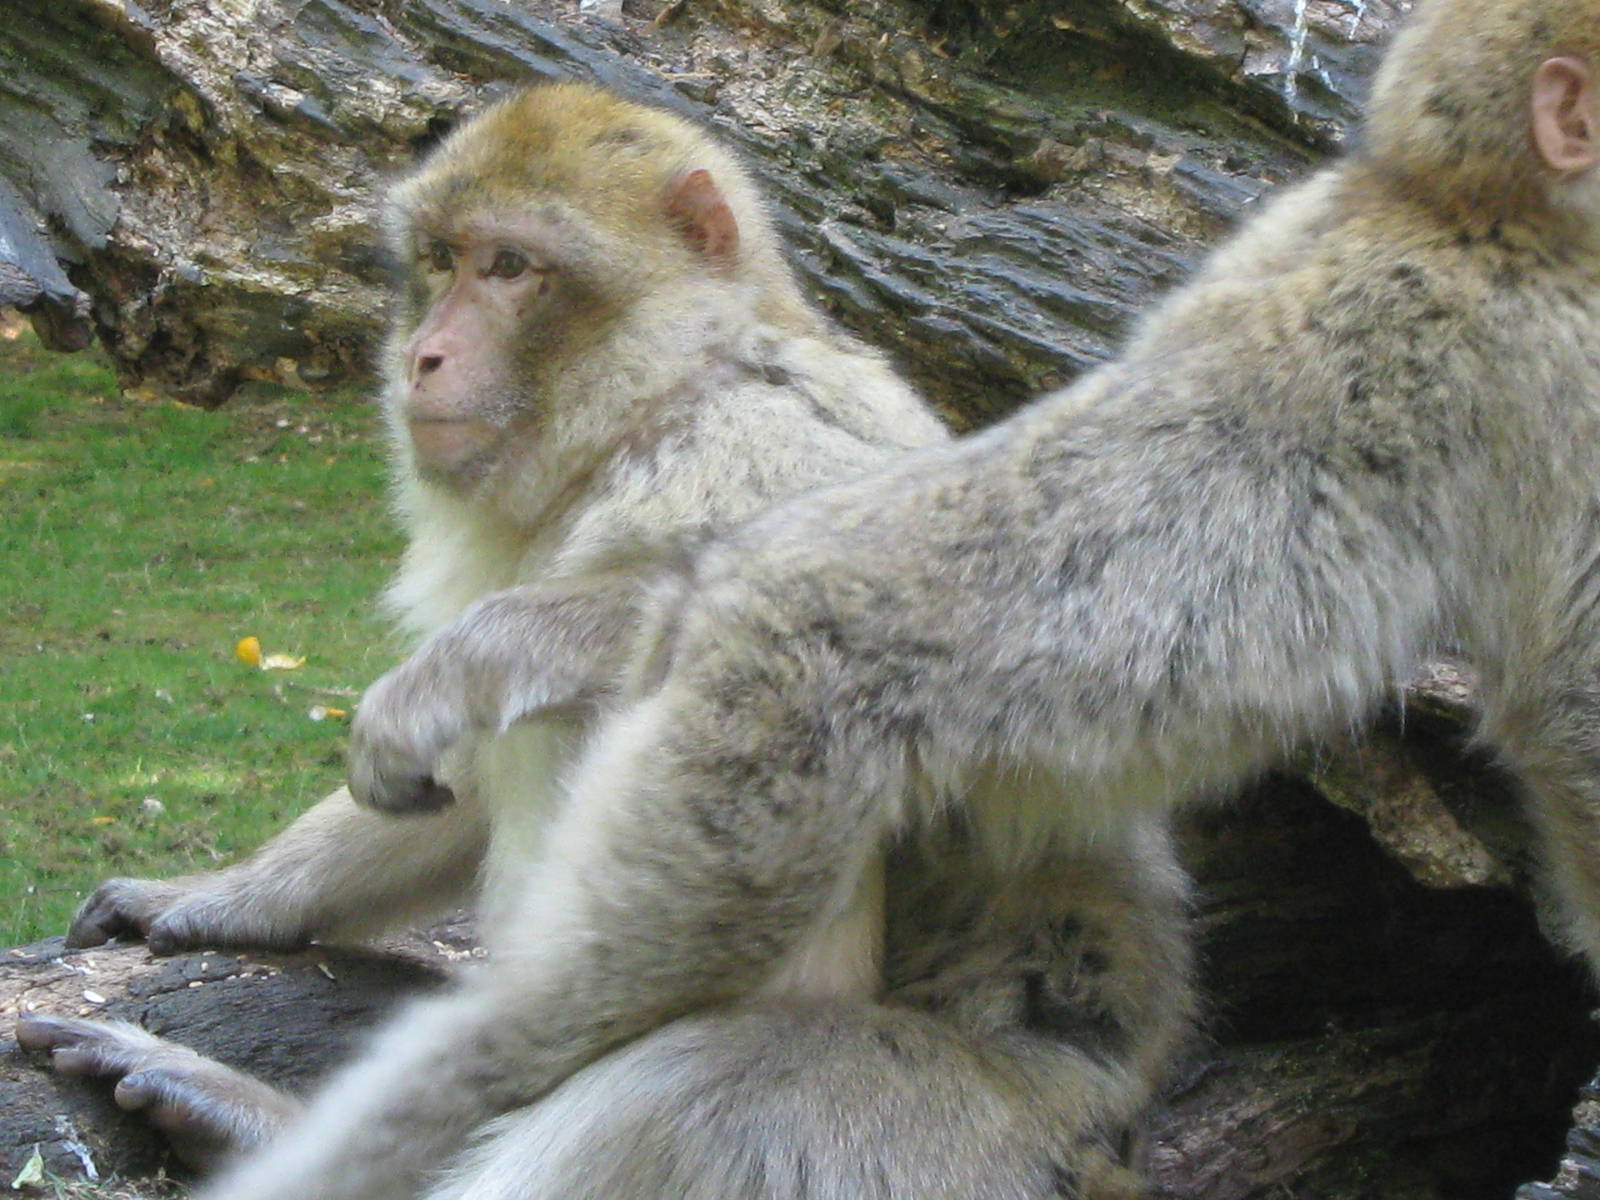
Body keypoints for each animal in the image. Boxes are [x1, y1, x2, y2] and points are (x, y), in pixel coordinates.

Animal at [19, 81, 1196, 1195]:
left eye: (510, 267)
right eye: (441, 262)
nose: (423, 356)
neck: (646, 409)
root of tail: (1102, 1122)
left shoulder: (756, 435)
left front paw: (468, 662)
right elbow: (452, 786)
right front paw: (231, 895)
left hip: (919, 1129)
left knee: (693, 1049)